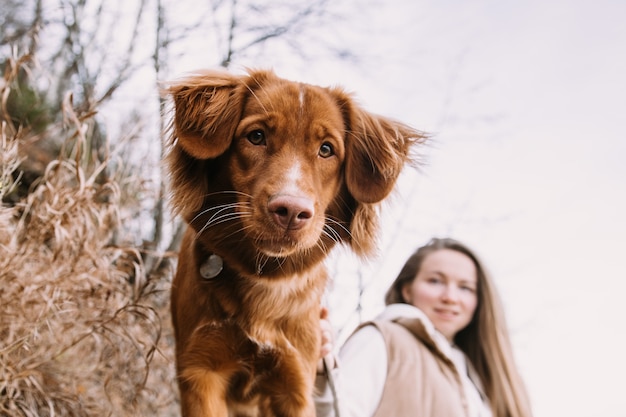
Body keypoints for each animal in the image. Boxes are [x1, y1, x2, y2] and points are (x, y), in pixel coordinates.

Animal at [165, 70, 424, 414]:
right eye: (256, 136)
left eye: (326, 149)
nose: (291, 211)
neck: (264, 277)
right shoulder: (201, 374)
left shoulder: (295, 384)